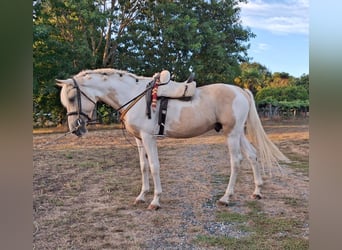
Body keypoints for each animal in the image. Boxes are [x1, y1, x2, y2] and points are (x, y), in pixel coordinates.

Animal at [56, 68, 288, 209]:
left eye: (71, 97)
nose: (75, 129)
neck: (133, 94)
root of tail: (240, 90)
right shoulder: (139, 140)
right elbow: (143, 166)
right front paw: (142, 196)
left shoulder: (149, 138)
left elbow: (154, 167)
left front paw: (156, 201)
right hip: (238, 133)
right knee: (253, 156)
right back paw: (257, 191)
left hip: (231, 134)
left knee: (237, 161)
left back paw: (226, 198)